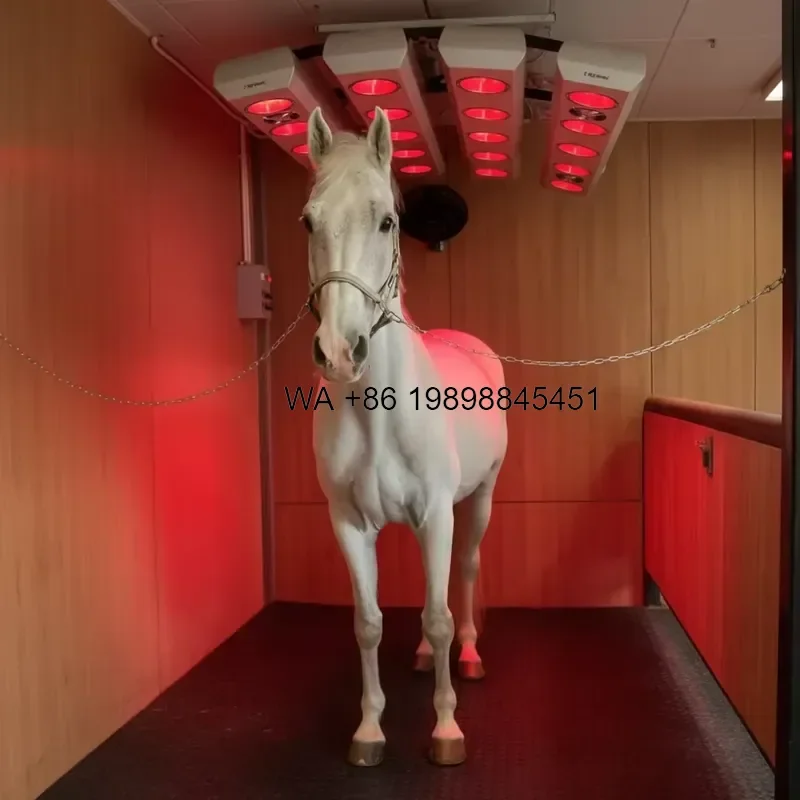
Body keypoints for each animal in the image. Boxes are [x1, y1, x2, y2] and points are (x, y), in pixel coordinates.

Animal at [301, 105, 508, 768]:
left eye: (387, 219)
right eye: (308, 220)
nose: (341, 351)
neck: (378, 414)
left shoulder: (438, 512)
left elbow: (440, 615)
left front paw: (446, 728)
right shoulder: (347, 522)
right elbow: (368, 623)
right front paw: (369, 729)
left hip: (477, 502)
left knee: (462, 574)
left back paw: (467, 656)